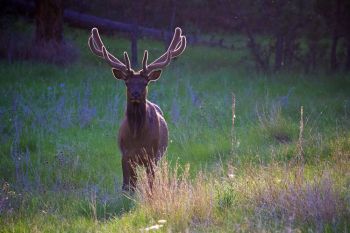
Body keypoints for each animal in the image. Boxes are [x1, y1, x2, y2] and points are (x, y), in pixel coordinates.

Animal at [88, 27, 186, 191]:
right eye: (127, 82)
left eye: (145, 82)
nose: (135, 93)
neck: (136, 136)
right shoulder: (126, 155)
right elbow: (127, 186)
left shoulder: (151, 156)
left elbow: (151, 184)